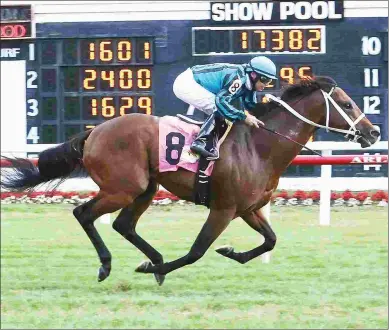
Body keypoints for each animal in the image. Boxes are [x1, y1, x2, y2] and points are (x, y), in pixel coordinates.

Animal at [0, 76, 378, 284]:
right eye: (346, 103)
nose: (372, 132)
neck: (260, 145)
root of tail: (95, 132)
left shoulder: (248, 208)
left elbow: (270, 240)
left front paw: (232, 252)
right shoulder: (223, 209)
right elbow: (197, 251)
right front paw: (158, 268)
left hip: (145, 188)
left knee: (123, 225)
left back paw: (152, 258)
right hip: (124, 188)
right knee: (84, 214)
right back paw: (110, 265)